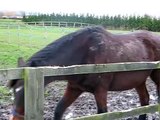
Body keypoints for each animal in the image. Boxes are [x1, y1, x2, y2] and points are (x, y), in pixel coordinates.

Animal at [7, 26, 160, 120]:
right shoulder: (74, 89)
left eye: (26, 93)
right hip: (139, 81)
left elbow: (102, 114)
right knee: (145, 100)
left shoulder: (100, 91)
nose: (14, 118)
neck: (84, 54)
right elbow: (58, 110)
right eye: (14, 92)